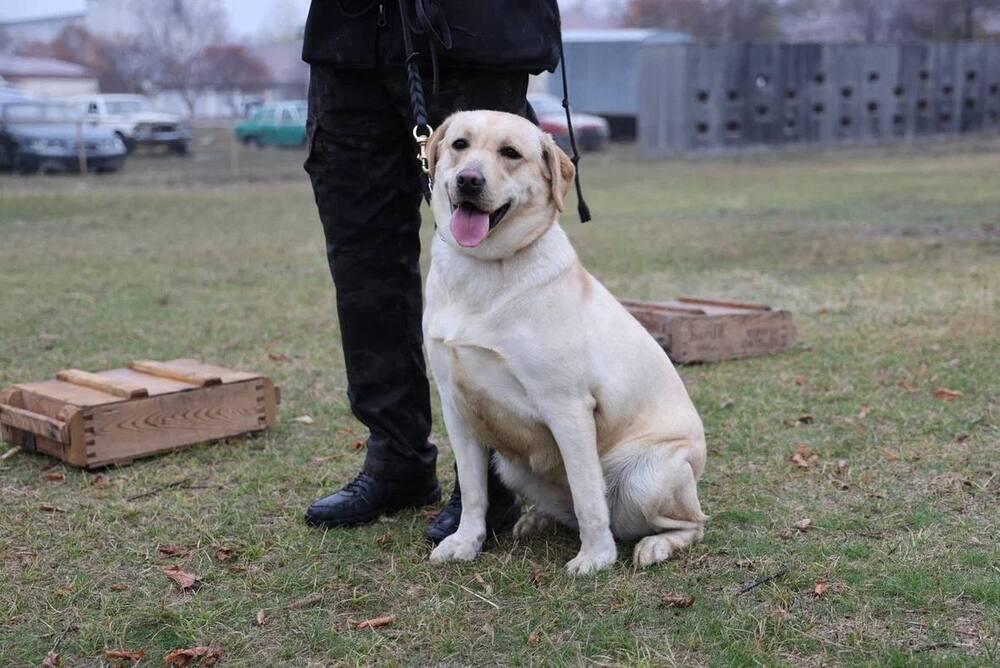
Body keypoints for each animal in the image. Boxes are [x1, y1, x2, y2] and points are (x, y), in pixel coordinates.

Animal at [426, 111, 708, 576]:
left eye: (510, 153)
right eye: (460, 145)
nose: (468, 180)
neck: (486, 268)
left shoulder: (567, 407)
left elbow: (587, 492)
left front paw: (596, 557)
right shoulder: (456, 405)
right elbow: (472, 490)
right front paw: (466, 542)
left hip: (646, 477)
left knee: (692, 523)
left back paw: (655, 545)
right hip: (512, 466)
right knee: (566, 509)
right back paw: (537, 520)